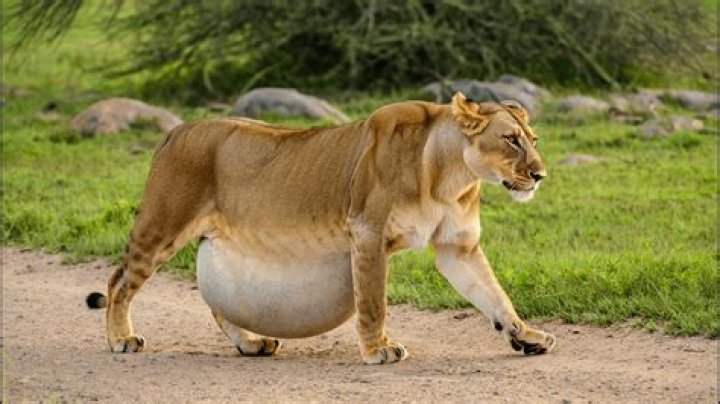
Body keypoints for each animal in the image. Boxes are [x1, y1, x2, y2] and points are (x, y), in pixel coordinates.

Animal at [86, 92, 556, 364]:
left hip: (221, 245)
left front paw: (527, 336)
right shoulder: (367, 232)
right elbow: (372, 302)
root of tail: (177, 129)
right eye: (511, 139)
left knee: (217, 302)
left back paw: (251, 343)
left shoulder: (458, 247)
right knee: (118, 280)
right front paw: (378, 350)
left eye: (533, 139)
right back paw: (120, 340)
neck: (451, 177)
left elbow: (495, 296)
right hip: (163, 224)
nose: (540, 176)